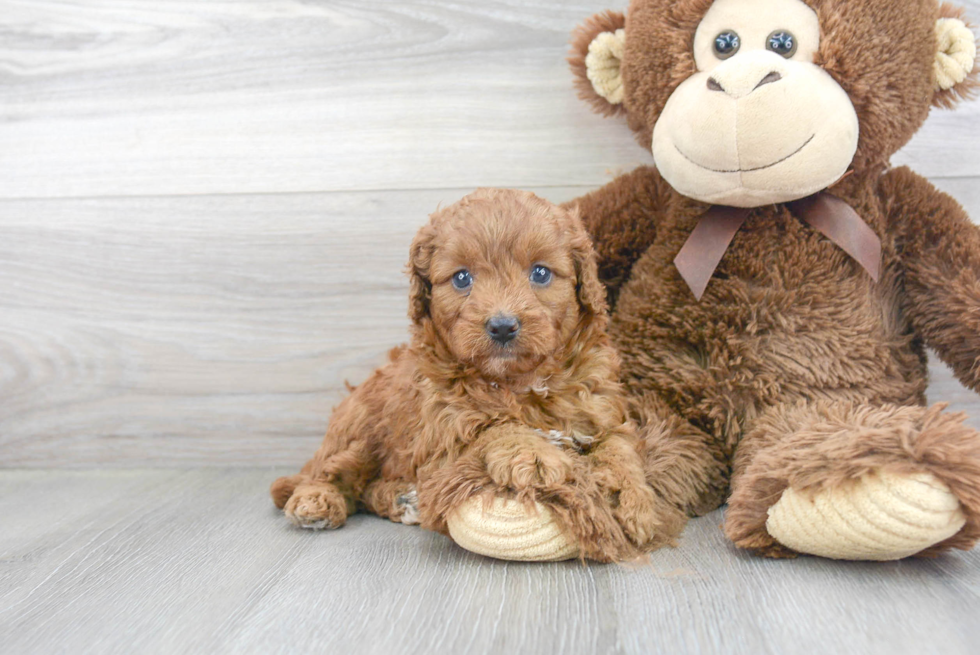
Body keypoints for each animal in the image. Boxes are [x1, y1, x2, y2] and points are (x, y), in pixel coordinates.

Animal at [268, 187, 680, 560]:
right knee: (330, 472)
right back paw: (317, 501)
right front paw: (533, 453)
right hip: (359, 423)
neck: (521, 382)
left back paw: (402, 498)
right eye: (462, 278)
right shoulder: (443, 427)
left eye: (541, 273)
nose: (502, 326)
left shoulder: (600, 409)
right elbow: (493, 427)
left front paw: (633, 501)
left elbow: (618, 448)